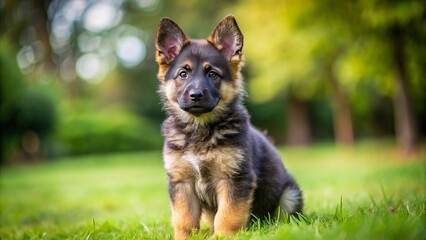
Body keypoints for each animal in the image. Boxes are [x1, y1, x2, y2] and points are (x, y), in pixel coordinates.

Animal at [155, 15, 302, 240]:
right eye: (182, 74)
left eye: (213, 74)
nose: (195, 95)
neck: (200, 128)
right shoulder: (181, 182)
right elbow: (184, 216)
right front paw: (184, 236)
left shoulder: (234, 179)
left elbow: (228, 214)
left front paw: (223, 236)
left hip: (289, 194)